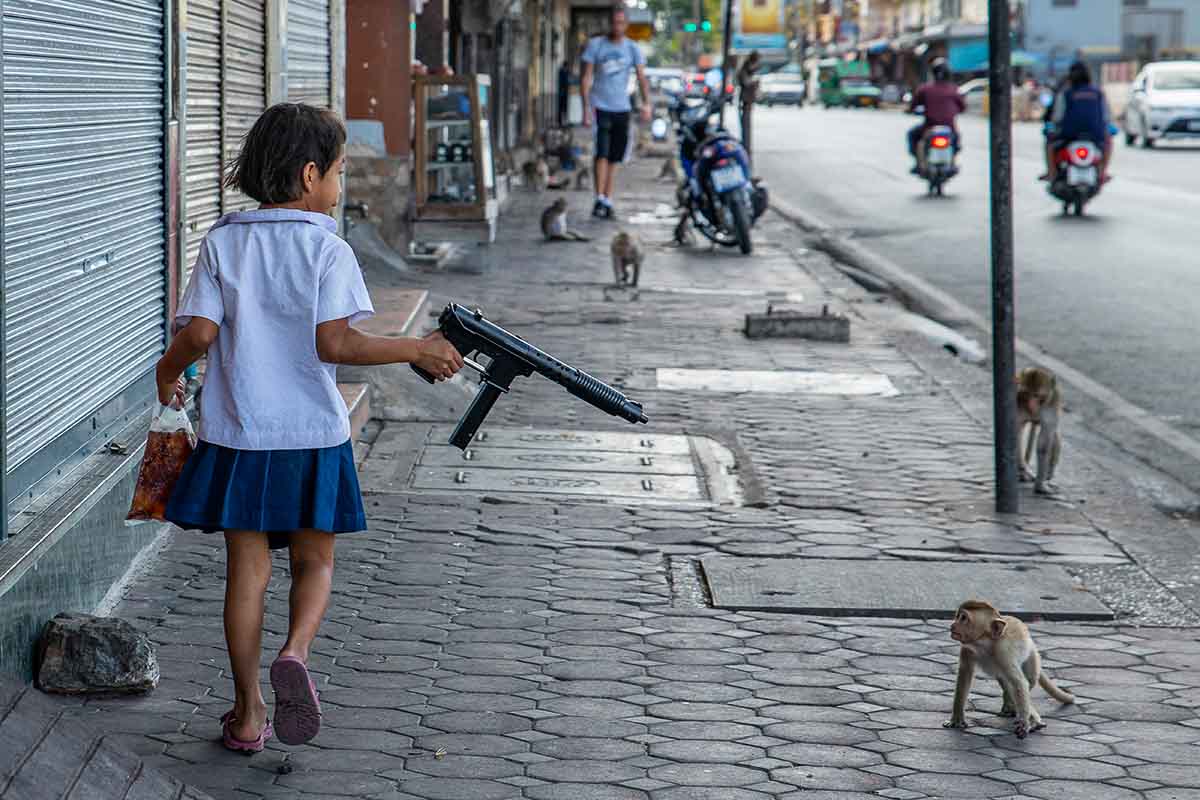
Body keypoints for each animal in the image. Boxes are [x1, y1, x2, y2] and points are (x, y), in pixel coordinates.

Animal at [945, 599, 1080, 738]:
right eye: (957, 616)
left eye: (963, 618)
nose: (953, 625)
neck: (984, 643)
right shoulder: (967, 648)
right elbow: (965, 674)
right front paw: (956, 719)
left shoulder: (1003, 653)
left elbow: (1019, 683)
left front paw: (1025, 723)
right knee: (1006, 682)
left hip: (1032, 657)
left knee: (1026, 682)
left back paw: (1028, 716)